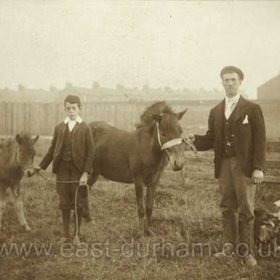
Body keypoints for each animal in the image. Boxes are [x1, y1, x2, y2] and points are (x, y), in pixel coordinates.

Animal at [88, 101, 187, 235]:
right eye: (163, 133)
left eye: (180, 131)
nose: (178, 163)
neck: (146, 149)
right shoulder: (138, 181)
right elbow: (141, 209)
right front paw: (140, 234)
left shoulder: (153, 183)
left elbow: (149, 207)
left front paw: (148, 231)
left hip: (94, 173)